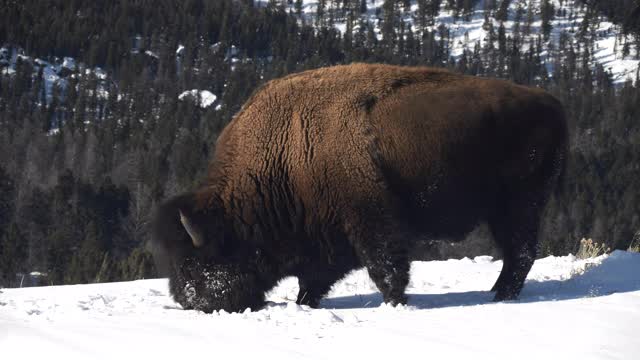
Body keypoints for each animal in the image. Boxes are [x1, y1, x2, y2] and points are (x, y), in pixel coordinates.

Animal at [152, 63, 568, 314]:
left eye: (195, 260)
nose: (190, 301)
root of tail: (552, 103)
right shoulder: (325, 242)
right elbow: (314, 280)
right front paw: (305, 303)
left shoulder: (372, 221)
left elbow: (386, 267)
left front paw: (396, 305)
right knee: (518, 252)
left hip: (519, 204)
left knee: (520, 252)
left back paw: (499, 297)